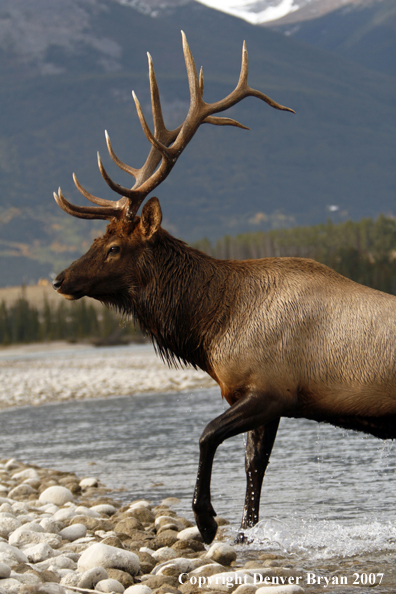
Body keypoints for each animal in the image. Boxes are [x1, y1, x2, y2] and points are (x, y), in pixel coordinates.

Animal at [52, 31, 396, 540]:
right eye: (95, 239)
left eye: (114, 247)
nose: (60, 278)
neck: (212, 324)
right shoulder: (266, 400)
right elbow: (254, 468)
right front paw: (244, 532)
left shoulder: (270, 389)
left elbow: (207, 434)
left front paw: (206, 519)